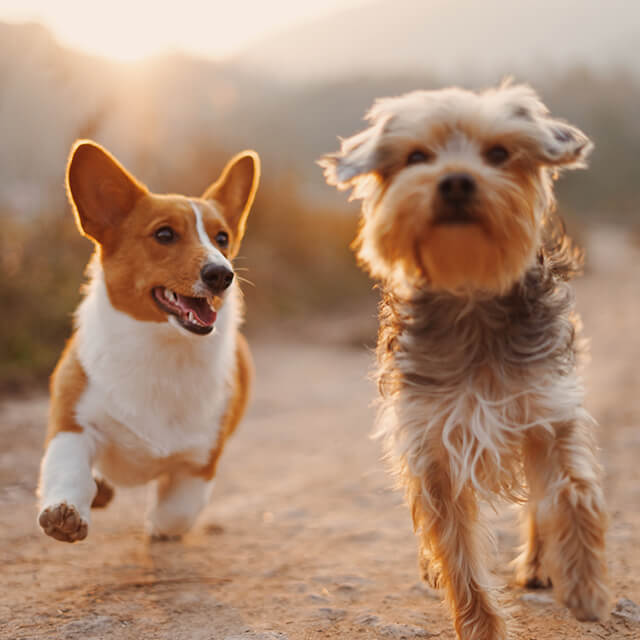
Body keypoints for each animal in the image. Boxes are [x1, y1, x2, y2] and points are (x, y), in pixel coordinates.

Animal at [37, 139, 258, 540]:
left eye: (222, 238)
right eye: (164, 234)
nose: (222, 274)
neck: (161, 348)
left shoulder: (199, 462)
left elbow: (176, 513)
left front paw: (158, 525)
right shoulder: (73, 424)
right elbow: (69, 470)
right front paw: (65, 511)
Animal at [320, 82, 608, 636]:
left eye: (498, 154)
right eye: (417, 157)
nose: (455, 180)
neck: (470, 292)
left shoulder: (547, 409)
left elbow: (572, 490)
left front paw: (584, 584)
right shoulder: (431, 443)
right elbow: (456, 550)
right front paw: (481, 626)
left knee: (539, 503)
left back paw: (540, 563)